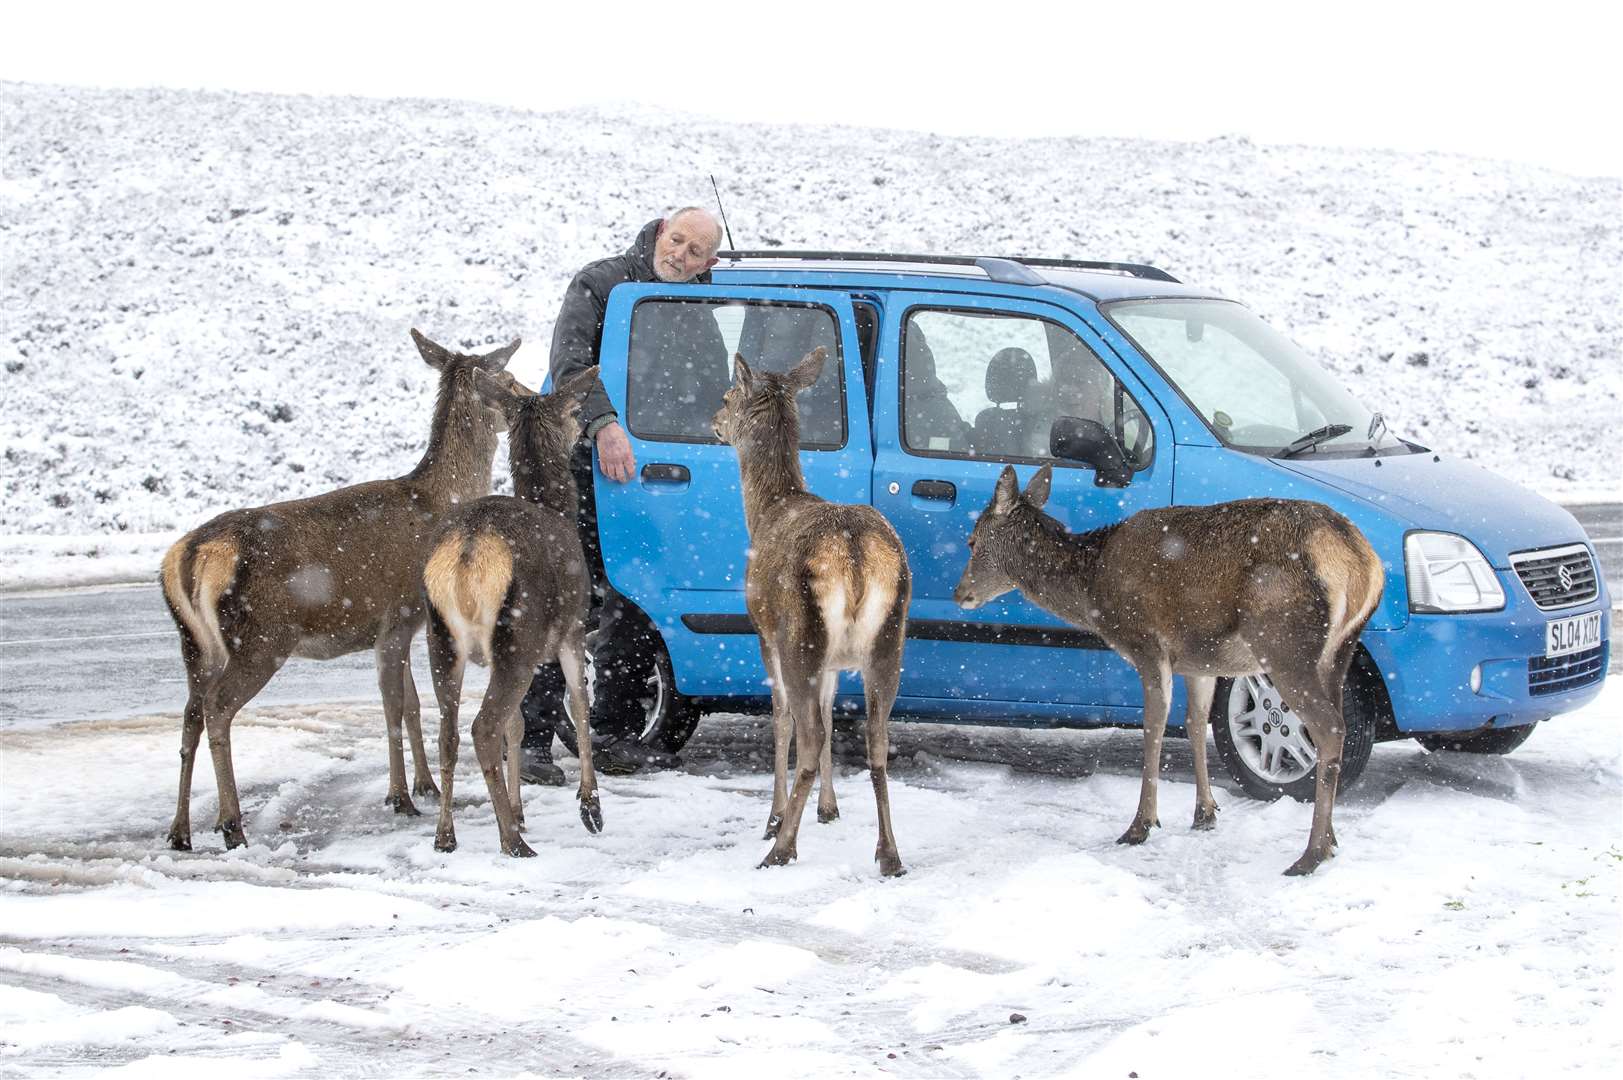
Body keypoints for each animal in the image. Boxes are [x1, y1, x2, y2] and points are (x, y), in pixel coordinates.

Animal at [155, 328, 516, 851]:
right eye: (507, 377)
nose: (526, 398)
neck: (436, 502)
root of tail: (189, 555)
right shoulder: (398, 614)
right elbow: (392, 704)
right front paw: (400, 796)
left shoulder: (400, 627)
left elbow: (411, 703)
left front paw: (424, 785)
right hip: (261, 638)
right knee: (218, 708)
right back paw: (232, 825)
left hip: (193, 644)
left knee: (190, 714)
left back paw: (180, 830)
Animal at [418, 367, 603, 857]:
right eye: (574, 412)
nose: (587, 433)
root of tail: (468, 550)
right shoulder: (573, 628)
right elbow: (580, 706)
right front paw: (590, 808)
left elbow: (518, 726)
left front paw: (520, 810)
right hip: (517, 636)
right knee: (483, 728)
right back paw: (511, 842)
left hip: (442, 639)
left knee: (449, 732)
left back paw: (447, 835)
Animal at [714, 345, 915, 876]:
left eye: (727, 395)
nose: (714, 422)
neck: (765, 509)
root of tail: (854, 550)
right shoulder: (834, 660)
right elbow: (830, 709)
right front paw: (830, 807)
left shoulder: (763, 631)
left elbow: (782, 718)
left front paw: (774, 817)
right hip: (888, 638)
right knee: (876, 740)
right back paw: (889, 854)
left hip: (798, 633)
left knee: (807, 734)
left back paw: (780, 847)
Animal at [947, 464, 1382, 876]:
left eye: (972, 541)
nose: (959, 593)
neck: (1095, 588)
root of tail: (1363, 561)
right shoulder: (1200, 660)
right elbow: (1194, 723)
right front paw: (1205, 813)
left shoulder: (1147, 643)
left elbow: (1153, 724)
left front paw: (1141, 824)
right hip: (1340, 650)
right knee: (1338, 723)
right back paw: (1331, 840)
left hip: (1284, 642)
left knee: (1330, 727)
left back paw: (1312, 854)